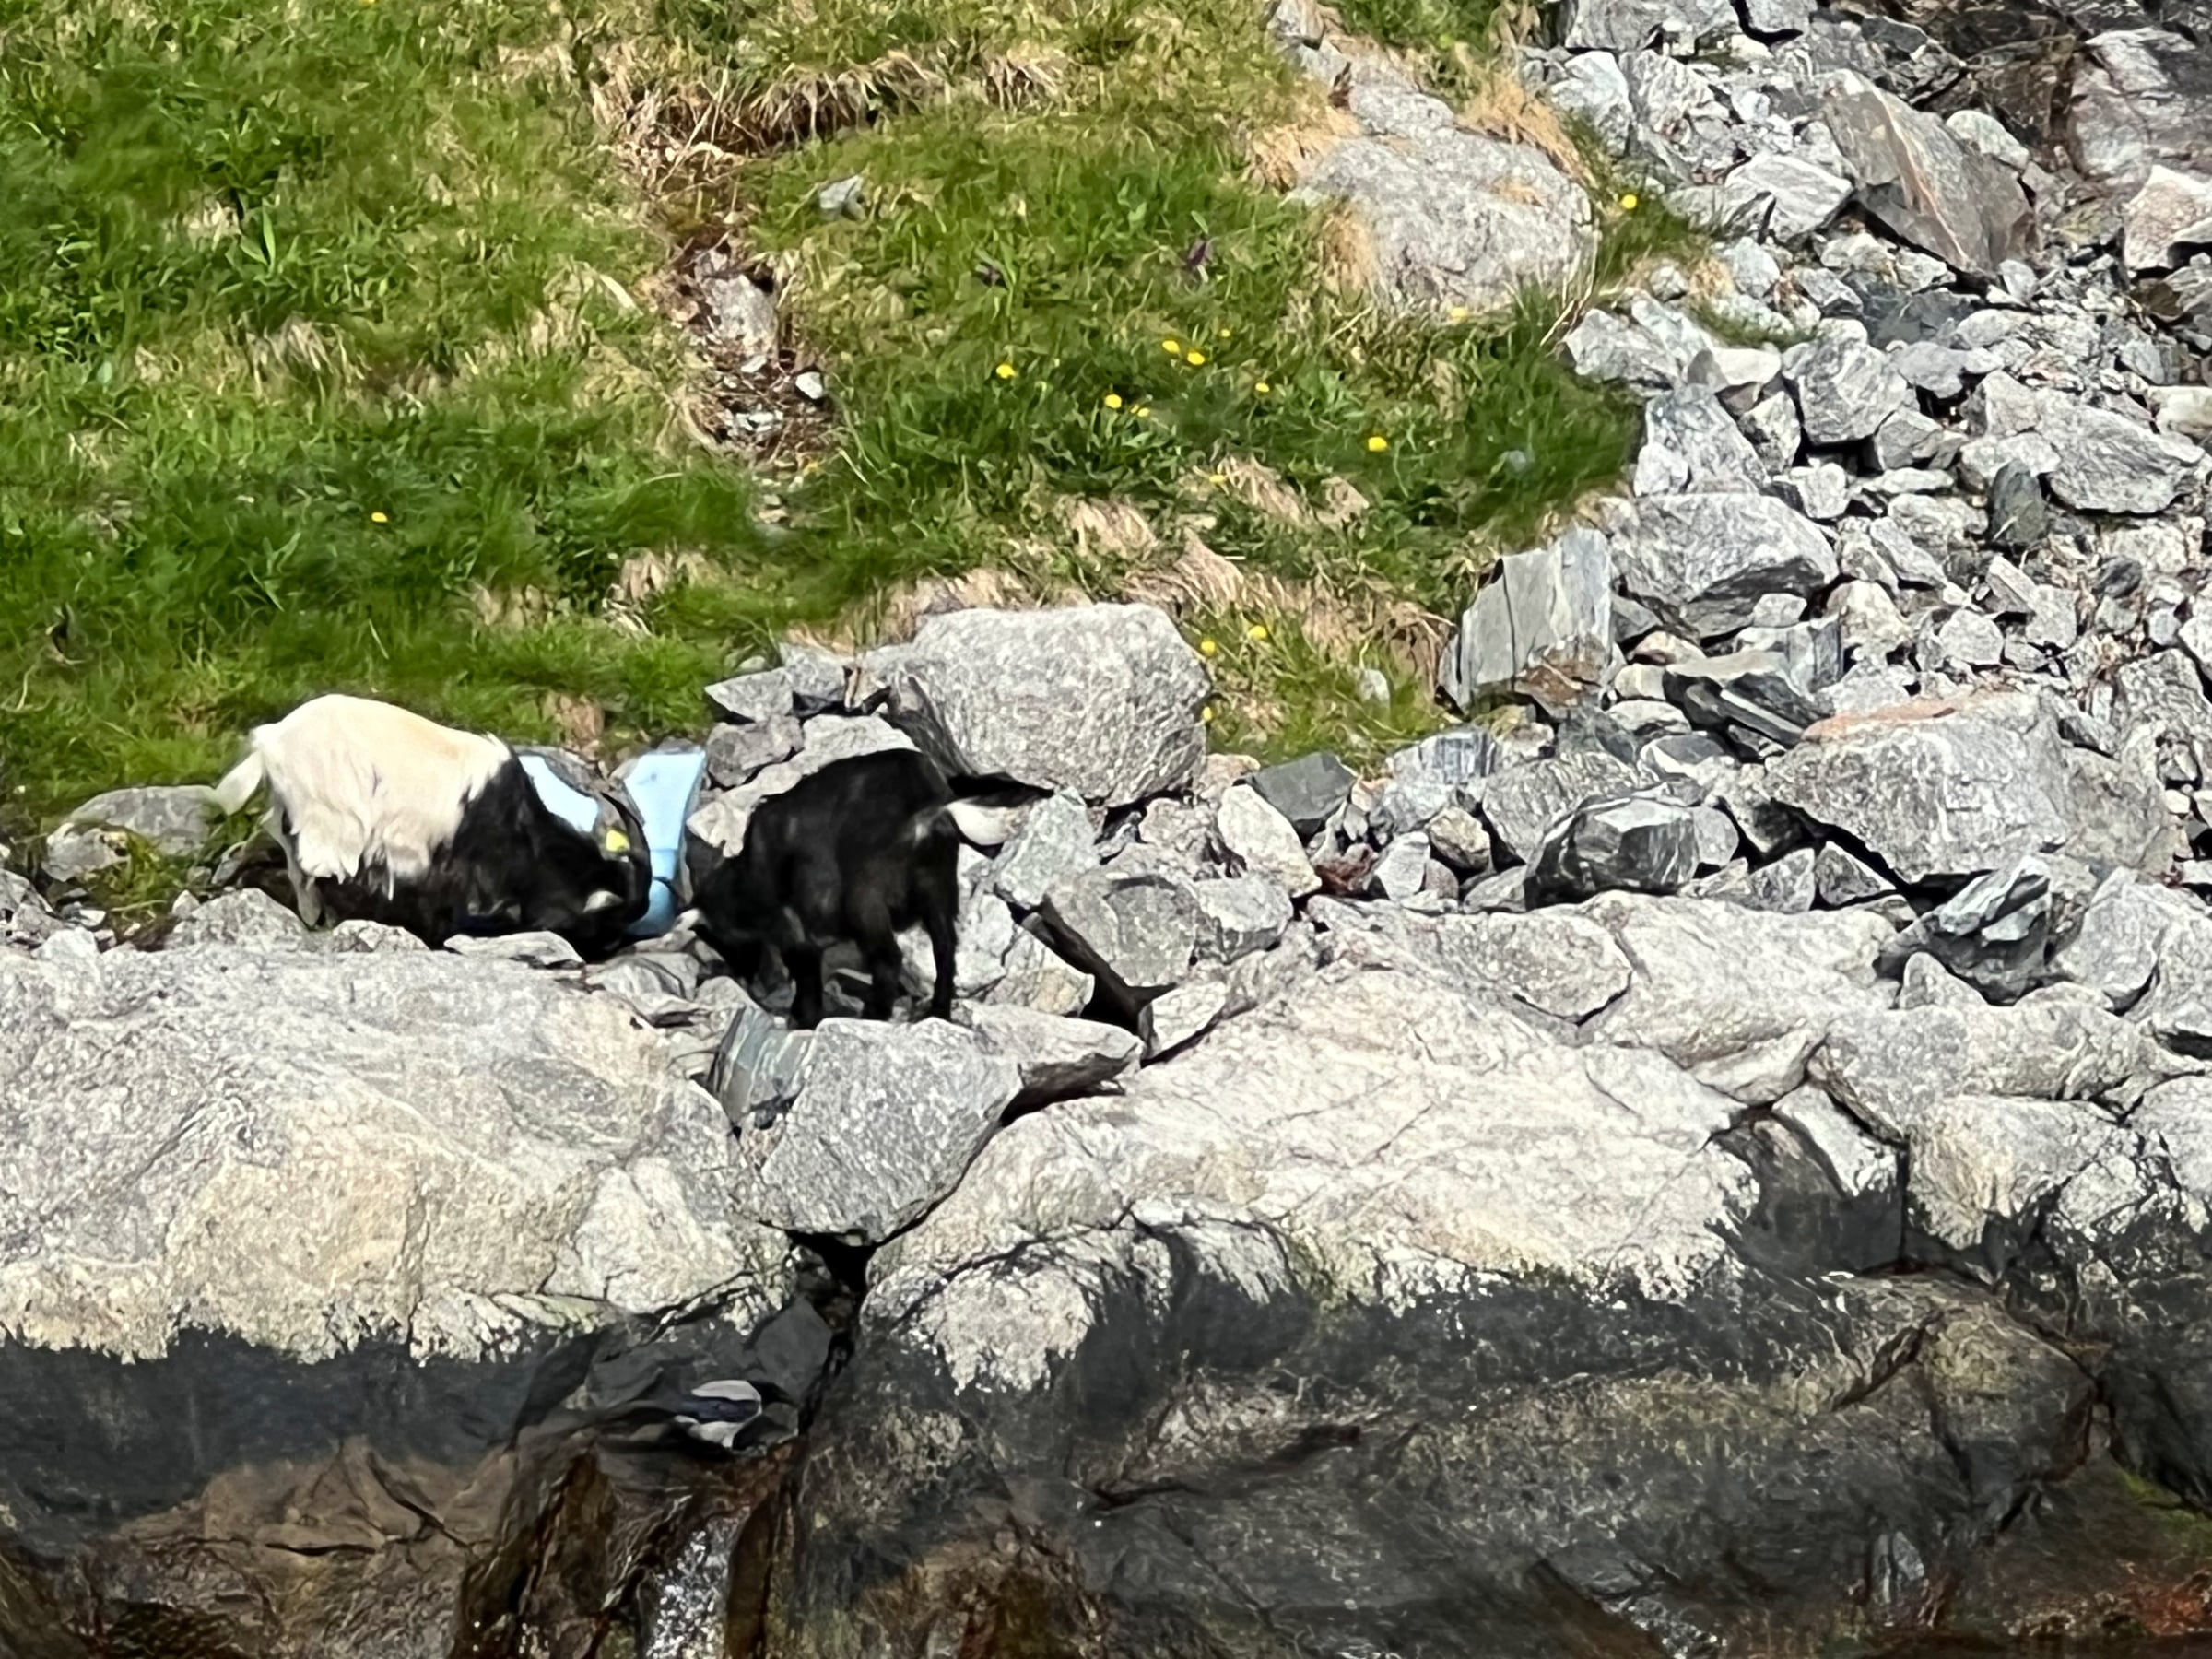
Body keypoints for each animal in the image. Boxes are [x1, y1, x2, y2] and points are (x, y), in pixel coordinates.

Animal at [213, 694, 652, 955]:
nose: (602, 953)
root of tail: (272, 741)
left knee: (280, 837)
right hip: (331, 819)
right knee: (315, 866)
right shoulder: (462, 871)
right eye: (604, 923)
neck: (524, 832)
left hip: (292, 805)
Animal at [689, 749, 1034, 1029]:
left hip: (866, 897)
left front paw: (805, 1018)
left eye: (717, 938)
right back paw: (938, 1011)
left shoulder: (791, 925)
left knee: (888, 959)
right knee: (945, 950)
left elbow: (805, 973)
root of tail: (927, 806)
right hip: (937, 887)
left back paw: (873, 1015)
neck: (745, 875)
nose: (749, 984)